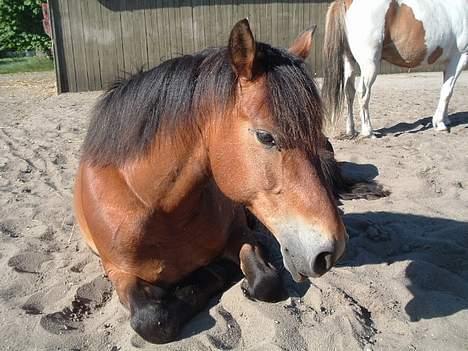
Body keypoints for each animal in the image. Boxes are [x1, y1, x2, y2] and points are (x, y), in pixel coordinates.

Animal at [74, 18, 388, 344]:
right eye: (265, 136)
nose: (331, 250)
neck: (156, 206)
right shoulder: (116, 270)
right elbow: (152, 320)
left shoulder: (241, 234)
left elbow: (265, 281)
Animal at [324, 0, 466, 138]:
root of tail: (347, 2)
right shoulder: (459, 58)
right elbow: (447, 92)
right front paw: (440, 124)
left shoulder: (448, 63)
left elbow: (445, 89)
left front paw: (445, 119)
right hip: (370, 64)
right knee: (363, 93)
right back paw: (368, 131)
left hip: (349, 61)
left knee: (349, 91)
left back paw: (351, 130)